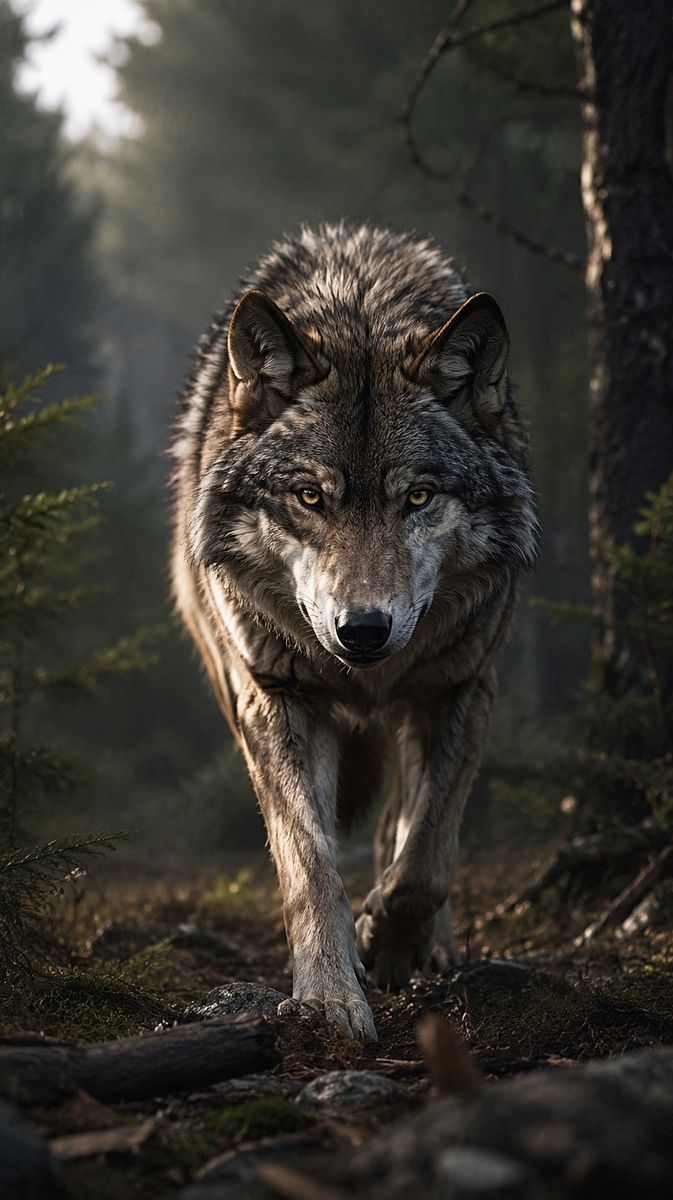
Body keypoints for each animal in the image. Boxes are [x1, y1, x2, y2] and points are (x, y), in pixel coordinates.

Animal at [171, 224, 538, 1041]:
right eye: (310, 497)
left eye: (419, 498)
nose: (362, 630)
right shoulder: (278, 700)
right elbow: (308, 864)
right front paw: (330, 996)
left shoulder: (461, 687)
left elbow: (427, 856)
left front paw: (391, 939)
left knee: (407, 825)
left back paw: (431, 945)